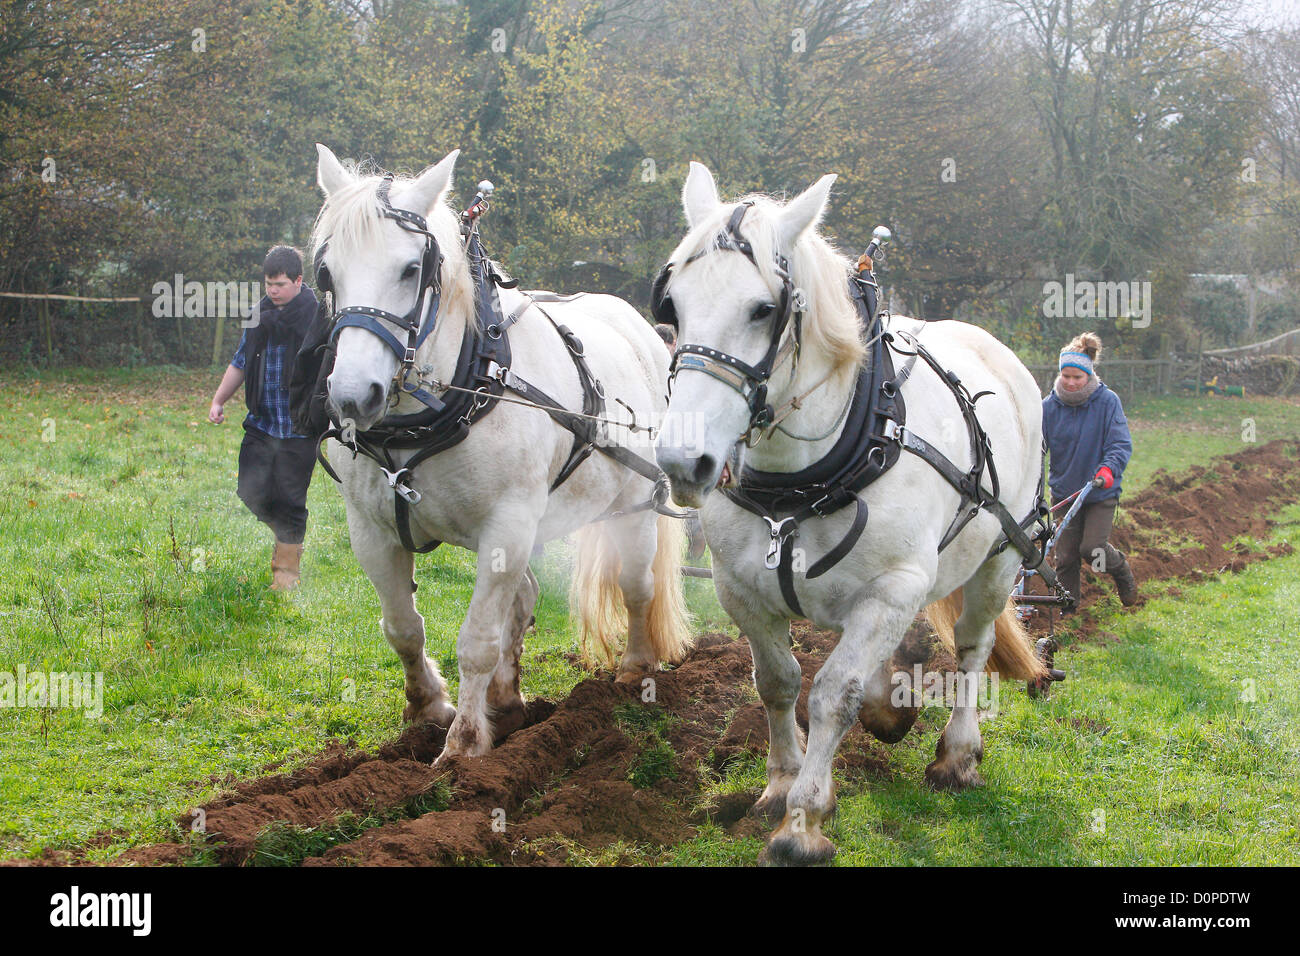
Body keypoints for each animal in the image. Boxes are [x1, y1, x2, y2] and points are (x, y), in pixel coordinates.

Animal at [310, 144, 690, 762]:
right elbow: (401, 626)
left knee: (637, 587)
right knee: (525, 596)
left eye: (411, 269)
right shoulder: (371, 531)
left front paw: (464, 746)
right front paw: (430, 706)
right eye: (326, 272)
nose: (351, 396)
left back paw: (635, 670)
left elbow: (478, 640)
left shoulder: (506, 525)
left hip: (631, 506)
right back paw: (507, 700)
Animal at [653, 162, 1048, 865]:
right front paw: (781, 785)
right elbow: (778, 681)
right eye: (671, 306)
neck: (799, 481)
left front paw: (803, 822)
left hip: (1001, 559)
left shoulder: (892, 588)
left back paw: (958, 755)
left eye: (763, 309)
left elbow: (833, 692)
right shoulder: (739, 589)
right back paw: (890, 710)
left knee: (972, 648)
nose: (682, 459)